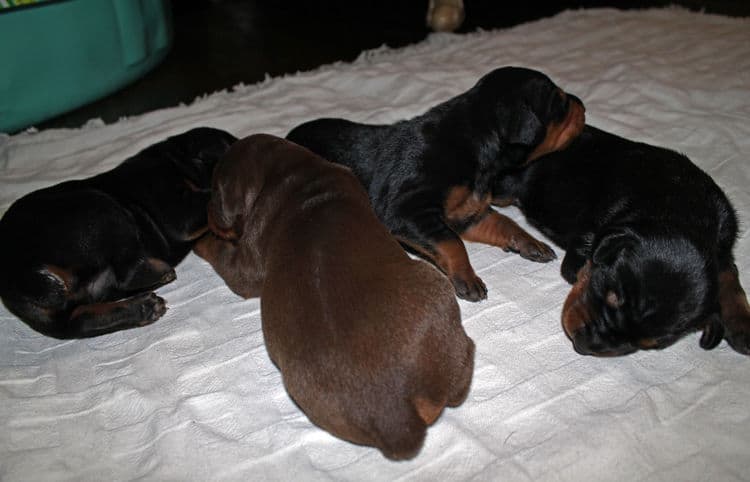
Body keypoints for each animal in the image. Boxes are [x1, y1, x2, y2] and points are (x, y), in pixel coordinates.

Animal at [0, 127, 238, 338]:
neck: (175, 160)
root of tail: (16, 274)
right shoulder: (177, 209)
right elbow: (208, 197)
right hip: (100, 206)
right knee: (128, 273)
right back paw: (159, 276)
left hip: (55, 314)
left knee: (79, 321)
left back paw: (143, 308)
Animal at [194, 135, 476, 460]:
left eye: (214, 192)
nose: (205, 210)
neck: (291, 172)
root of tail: (397, 418)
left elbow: (229, 263)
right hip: (434, 285)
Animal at [288, 67, 588, 302]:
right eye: (561, 103)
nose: (582, 104)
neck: (476, 141)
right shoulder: (405, 210)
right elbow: (452, 241)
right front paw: (467, 278)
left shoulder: (469, 213)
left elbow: (503, 223)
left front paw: (530, 242)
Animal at [494, 126, 750, 356]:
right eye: (611, 296)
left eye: (649, 344)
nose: (584, 346)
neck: (686, 208)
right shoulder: (590, 237)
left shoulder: (722, 244)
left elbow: (730, 275)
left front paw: (738, 323)